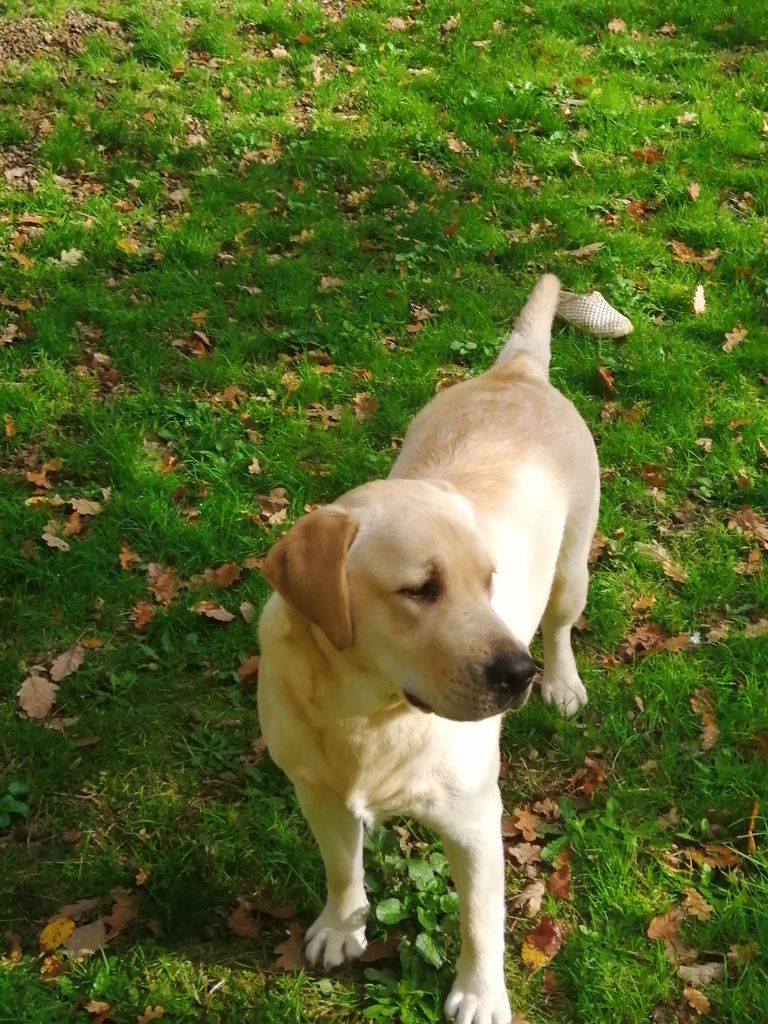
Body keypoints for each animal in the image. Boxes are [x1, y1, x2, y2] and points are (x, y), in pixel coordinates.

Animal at [259, 276, 602, 1024]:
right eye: (421, 590)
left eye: (489, 580)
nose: (517, 674)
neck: (367, 714)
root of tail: (518, 372)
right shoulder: (315, 790)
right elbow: (342, 866)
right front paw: (342, 925)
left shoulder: (475, 820)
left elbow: (480, 919)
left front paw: (481, 993)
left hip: (572, 567)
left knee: (562, 624)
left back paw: (563, 680)